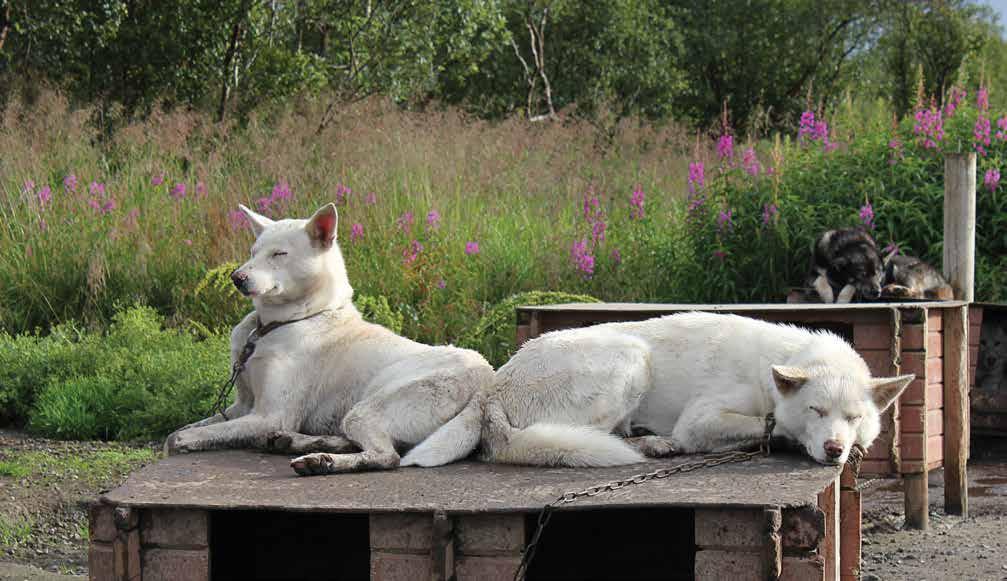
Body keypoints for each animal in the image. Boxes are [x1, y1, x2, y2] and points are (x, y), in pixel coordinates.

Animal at [163, 201, 493, 473]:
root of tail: (485, 383)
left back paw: (322, 462)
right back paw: (303, 444)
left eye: (279, 254)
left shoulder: (270, 415)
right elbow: (195, 425)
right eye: (253, 253)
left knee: (386, 456)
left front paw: (183, 441)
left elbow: (186, 434)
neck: (278, 324)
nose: (236, 278)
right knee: (364, 443)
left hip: (368, 408)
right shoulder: (242, 406)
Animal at [477, 310, 914, 465]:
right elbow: (768, 425)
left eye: (853, 418)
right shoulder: (699, 421)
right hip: (632, 358)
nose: (835, 449)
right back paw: (655, 444)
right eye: (816, 411)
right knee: (593, 435)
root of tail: (496, 388)